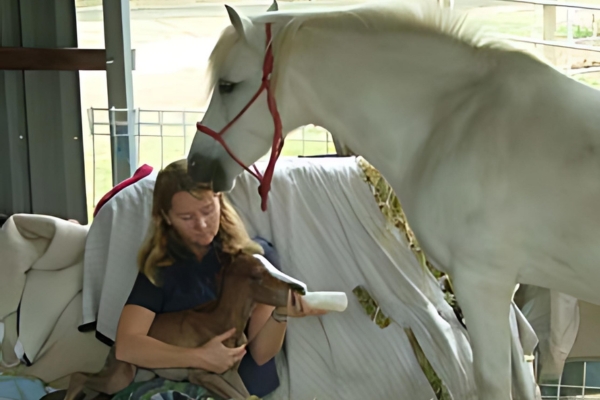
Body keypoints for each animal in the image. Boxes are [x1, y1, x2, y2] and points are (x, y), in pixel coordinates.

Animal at [186, 1, 600, 398]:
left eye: (227, 85)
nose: (195, 165)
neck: (455, 123)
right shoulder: (501, 289)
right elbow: (521, 382)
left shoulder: (482, 283)